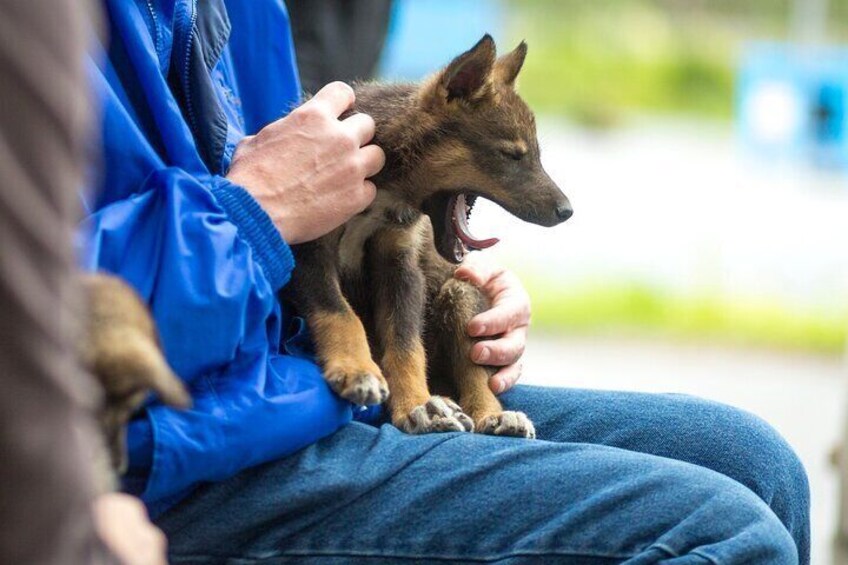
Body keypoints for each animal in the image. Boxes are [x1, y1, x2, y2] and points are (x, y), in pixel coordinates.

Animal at [284, 35, 568, 436]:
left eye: (536, 155)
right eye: (511, 155)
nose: (567, 211)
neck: (383, 187)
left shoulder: (400, 262)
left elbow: (405, 342)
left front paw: (417, 404)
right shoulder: (309, 250)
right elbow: (339, 312)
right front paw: (357, 370)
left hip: (460, 293)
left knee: (475, 376)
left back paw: (490, 414)